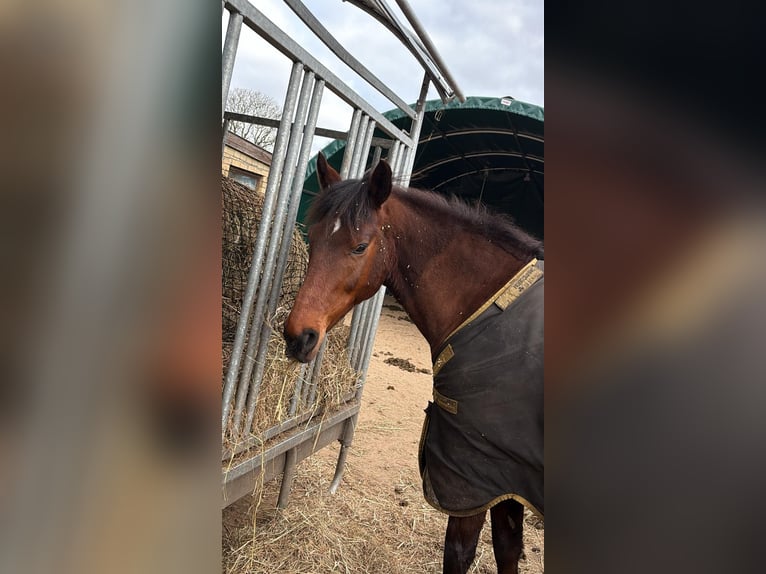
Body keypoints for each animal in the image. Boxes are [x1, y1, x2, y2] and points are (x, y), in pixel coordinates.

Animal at [284, 153, 544, 574]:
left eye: (360, 247)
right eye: (315, 236)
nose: (298, 336)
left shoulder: (473, 475)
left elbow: (460, 553)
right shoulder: (506, 476)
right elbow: (507, 548)